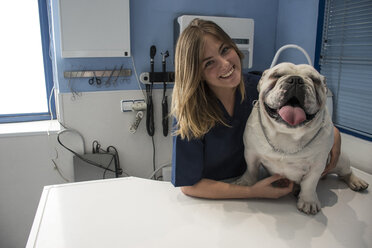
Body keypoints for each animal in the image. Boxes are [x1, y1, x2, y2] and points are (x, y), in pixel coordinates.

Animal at [237, 62, 368, 215]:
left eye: (315, 80)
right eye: (277, 75)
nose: (295, 79)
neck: (287, 133)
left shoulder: (317, 165)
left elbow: (309, 183)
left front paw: (308, 201)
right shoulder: (251, 153)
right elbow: (251, 170)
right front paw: (246, 182)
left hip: (340, 160)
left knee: (346, 172)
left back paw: (357, 182)